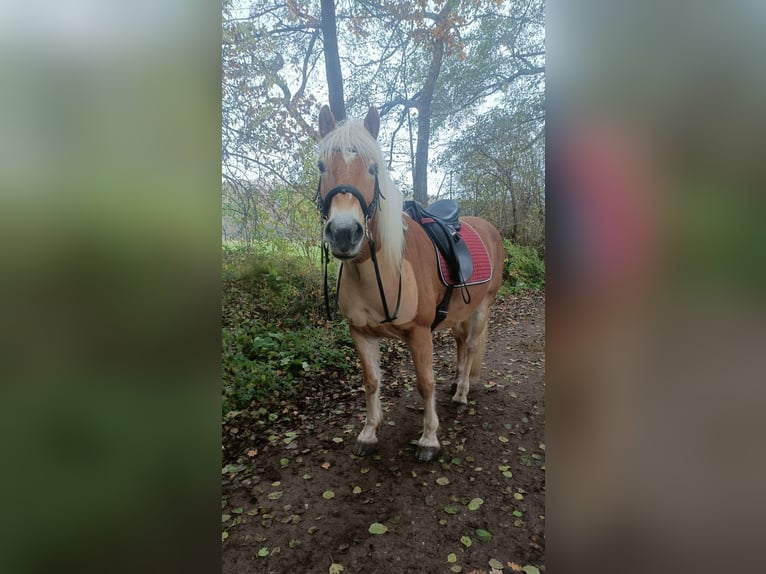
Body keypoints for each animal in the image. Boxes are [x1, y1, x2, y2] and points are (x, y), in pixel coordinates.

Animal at [315, 105, 505, 462]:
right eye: (321, 166)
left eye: (373, 168)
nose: (345, 233)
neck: (380, 269)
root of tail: (488, 227)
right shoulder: (360, 332)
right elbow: (371, 381)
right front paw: (368, 433)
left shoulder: (419, 333)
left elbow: (425, 383)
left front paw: (429, 439)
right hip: (459, 312)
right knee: (461, 344)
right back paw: (456, 383)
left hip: (482, 308)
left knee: (472, 345)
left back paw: (461, 395)